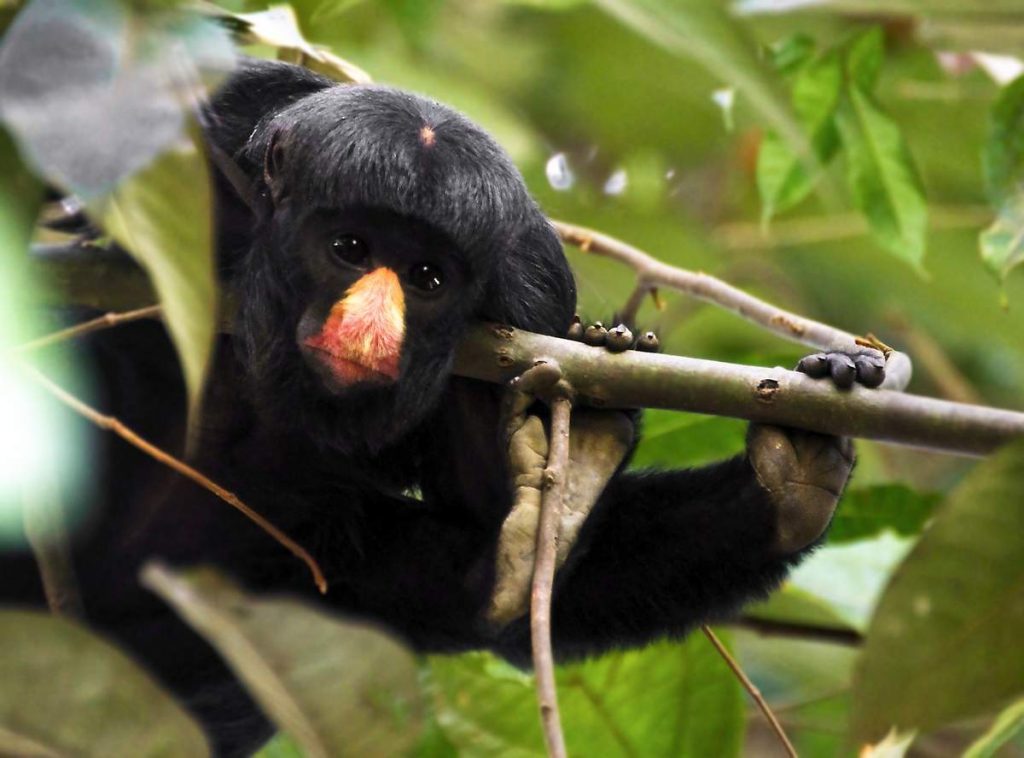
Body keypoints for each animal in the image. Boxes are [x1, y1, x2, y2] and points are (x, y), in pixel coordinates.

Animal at [0, 57, 884, 753]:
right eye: (350, 249)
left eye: (427, 279)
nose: (370, 327)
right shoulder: (222, 122)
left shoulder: (529, 296)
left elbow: (533, 606)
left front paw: (796, 452)